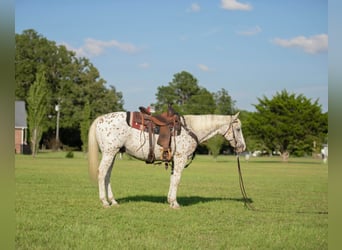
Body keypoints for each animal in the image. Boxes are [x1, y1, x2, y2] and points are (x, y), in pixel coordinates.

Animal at [88, 112, 246, 209]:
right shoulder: (180, 158)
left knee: (107, 176)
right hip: (109, 153)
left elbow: (172, 179)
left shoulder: (174, 161)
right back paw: (104, 202)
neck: (191, 129)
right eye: (238, 129)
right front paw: (175, 203)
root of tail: (101, 119)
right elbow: (177, 180)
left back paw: (113, 201)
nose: (242, 147)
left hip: (113, 154)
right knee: (102, 173)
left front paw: (170, 200)